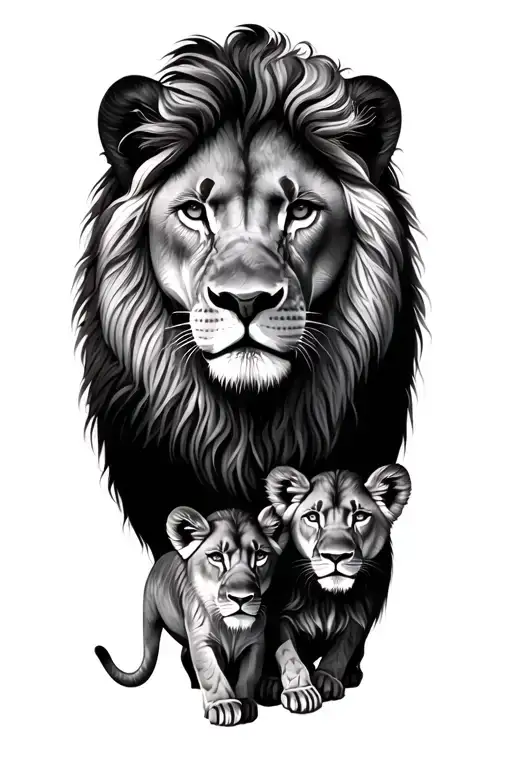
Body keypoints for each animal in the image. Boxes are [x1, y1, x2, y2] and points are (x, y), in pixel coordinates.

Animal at [95, 503, 287, 725]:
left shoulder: (255, 643)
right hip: (150, 615)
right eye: (217, 557)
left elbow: (248, 674)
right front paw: (224, 705)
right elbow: (211, 671)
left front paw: (246, 702)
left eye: (260, 555)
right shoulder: (201, 640)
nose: (241, 598)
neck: (231, 630)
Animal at [256, 463, 411, 713]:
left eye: (360, 516)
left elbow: (343, 647)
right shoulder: (278, 612)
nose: (336, 556)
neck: (326, 596)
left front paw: (326, 679)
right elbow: (287, 651)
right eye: (312, 517)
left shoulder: (361, 611)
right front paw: (299, 691)